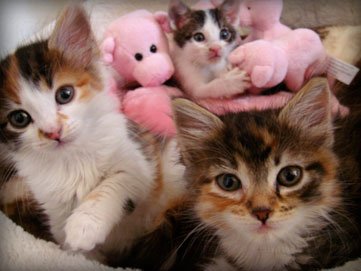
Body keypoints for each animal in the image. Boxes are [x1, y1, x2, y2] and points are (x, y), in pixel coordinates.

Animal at [0, 3, 184, 264]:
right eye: (19, 119)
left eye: (64, 94)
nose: (54, 132)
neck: (73, 158)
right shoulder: (52, 204)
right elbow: (71, 244)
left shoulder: (140, 160)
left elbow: (113, 183)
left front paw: (84, 225)